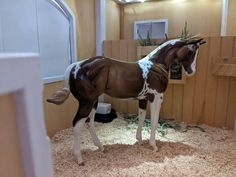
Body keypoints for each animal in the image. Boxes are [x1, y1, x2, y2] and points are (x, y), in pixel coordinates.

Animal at [47, 37, 205, 165]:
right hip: (87, 102)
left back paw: (100, 147)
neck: (156, 64)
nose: (192, 71)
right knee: (77, 124)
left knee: (90, 122)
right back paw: (79, 159)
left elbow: (141, 117)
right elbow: (154, 121)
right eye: (191, 51)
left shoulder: (143, 99)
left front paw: (139, 141)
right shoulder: (157, 97)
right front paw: (153, 146)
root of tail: (76, 65)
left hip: (93, 102)